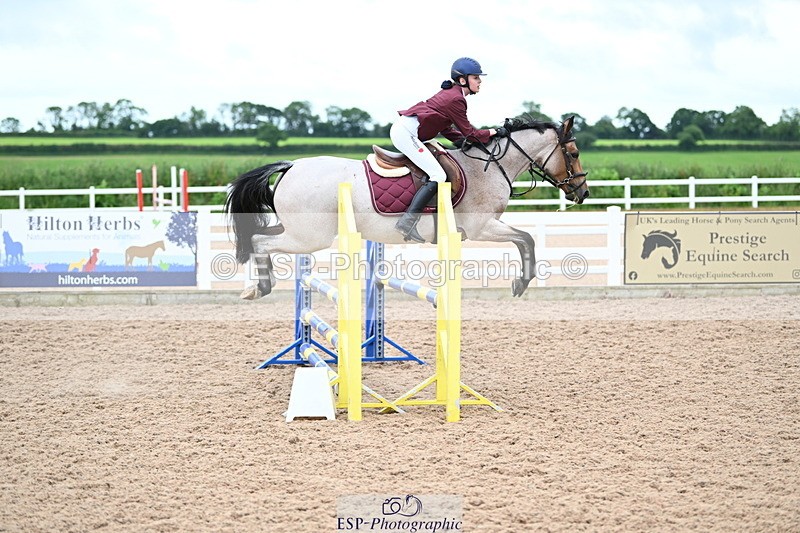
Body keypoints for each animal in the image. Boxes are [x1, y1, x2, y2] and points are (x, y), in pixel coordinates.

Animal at [225, 116, 589, 299]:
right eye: (572, 153)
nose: (582, 192)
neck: (488, 166)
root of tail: (290, 166)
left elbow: (525, 239)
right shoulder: (481, 227)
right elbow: (526, 239)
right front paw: (520, 284)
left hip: (298, 231)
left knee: (258, 236)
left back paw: (254, 287)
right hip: (310, 237)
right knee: (259, 241)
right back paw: (260, 288)